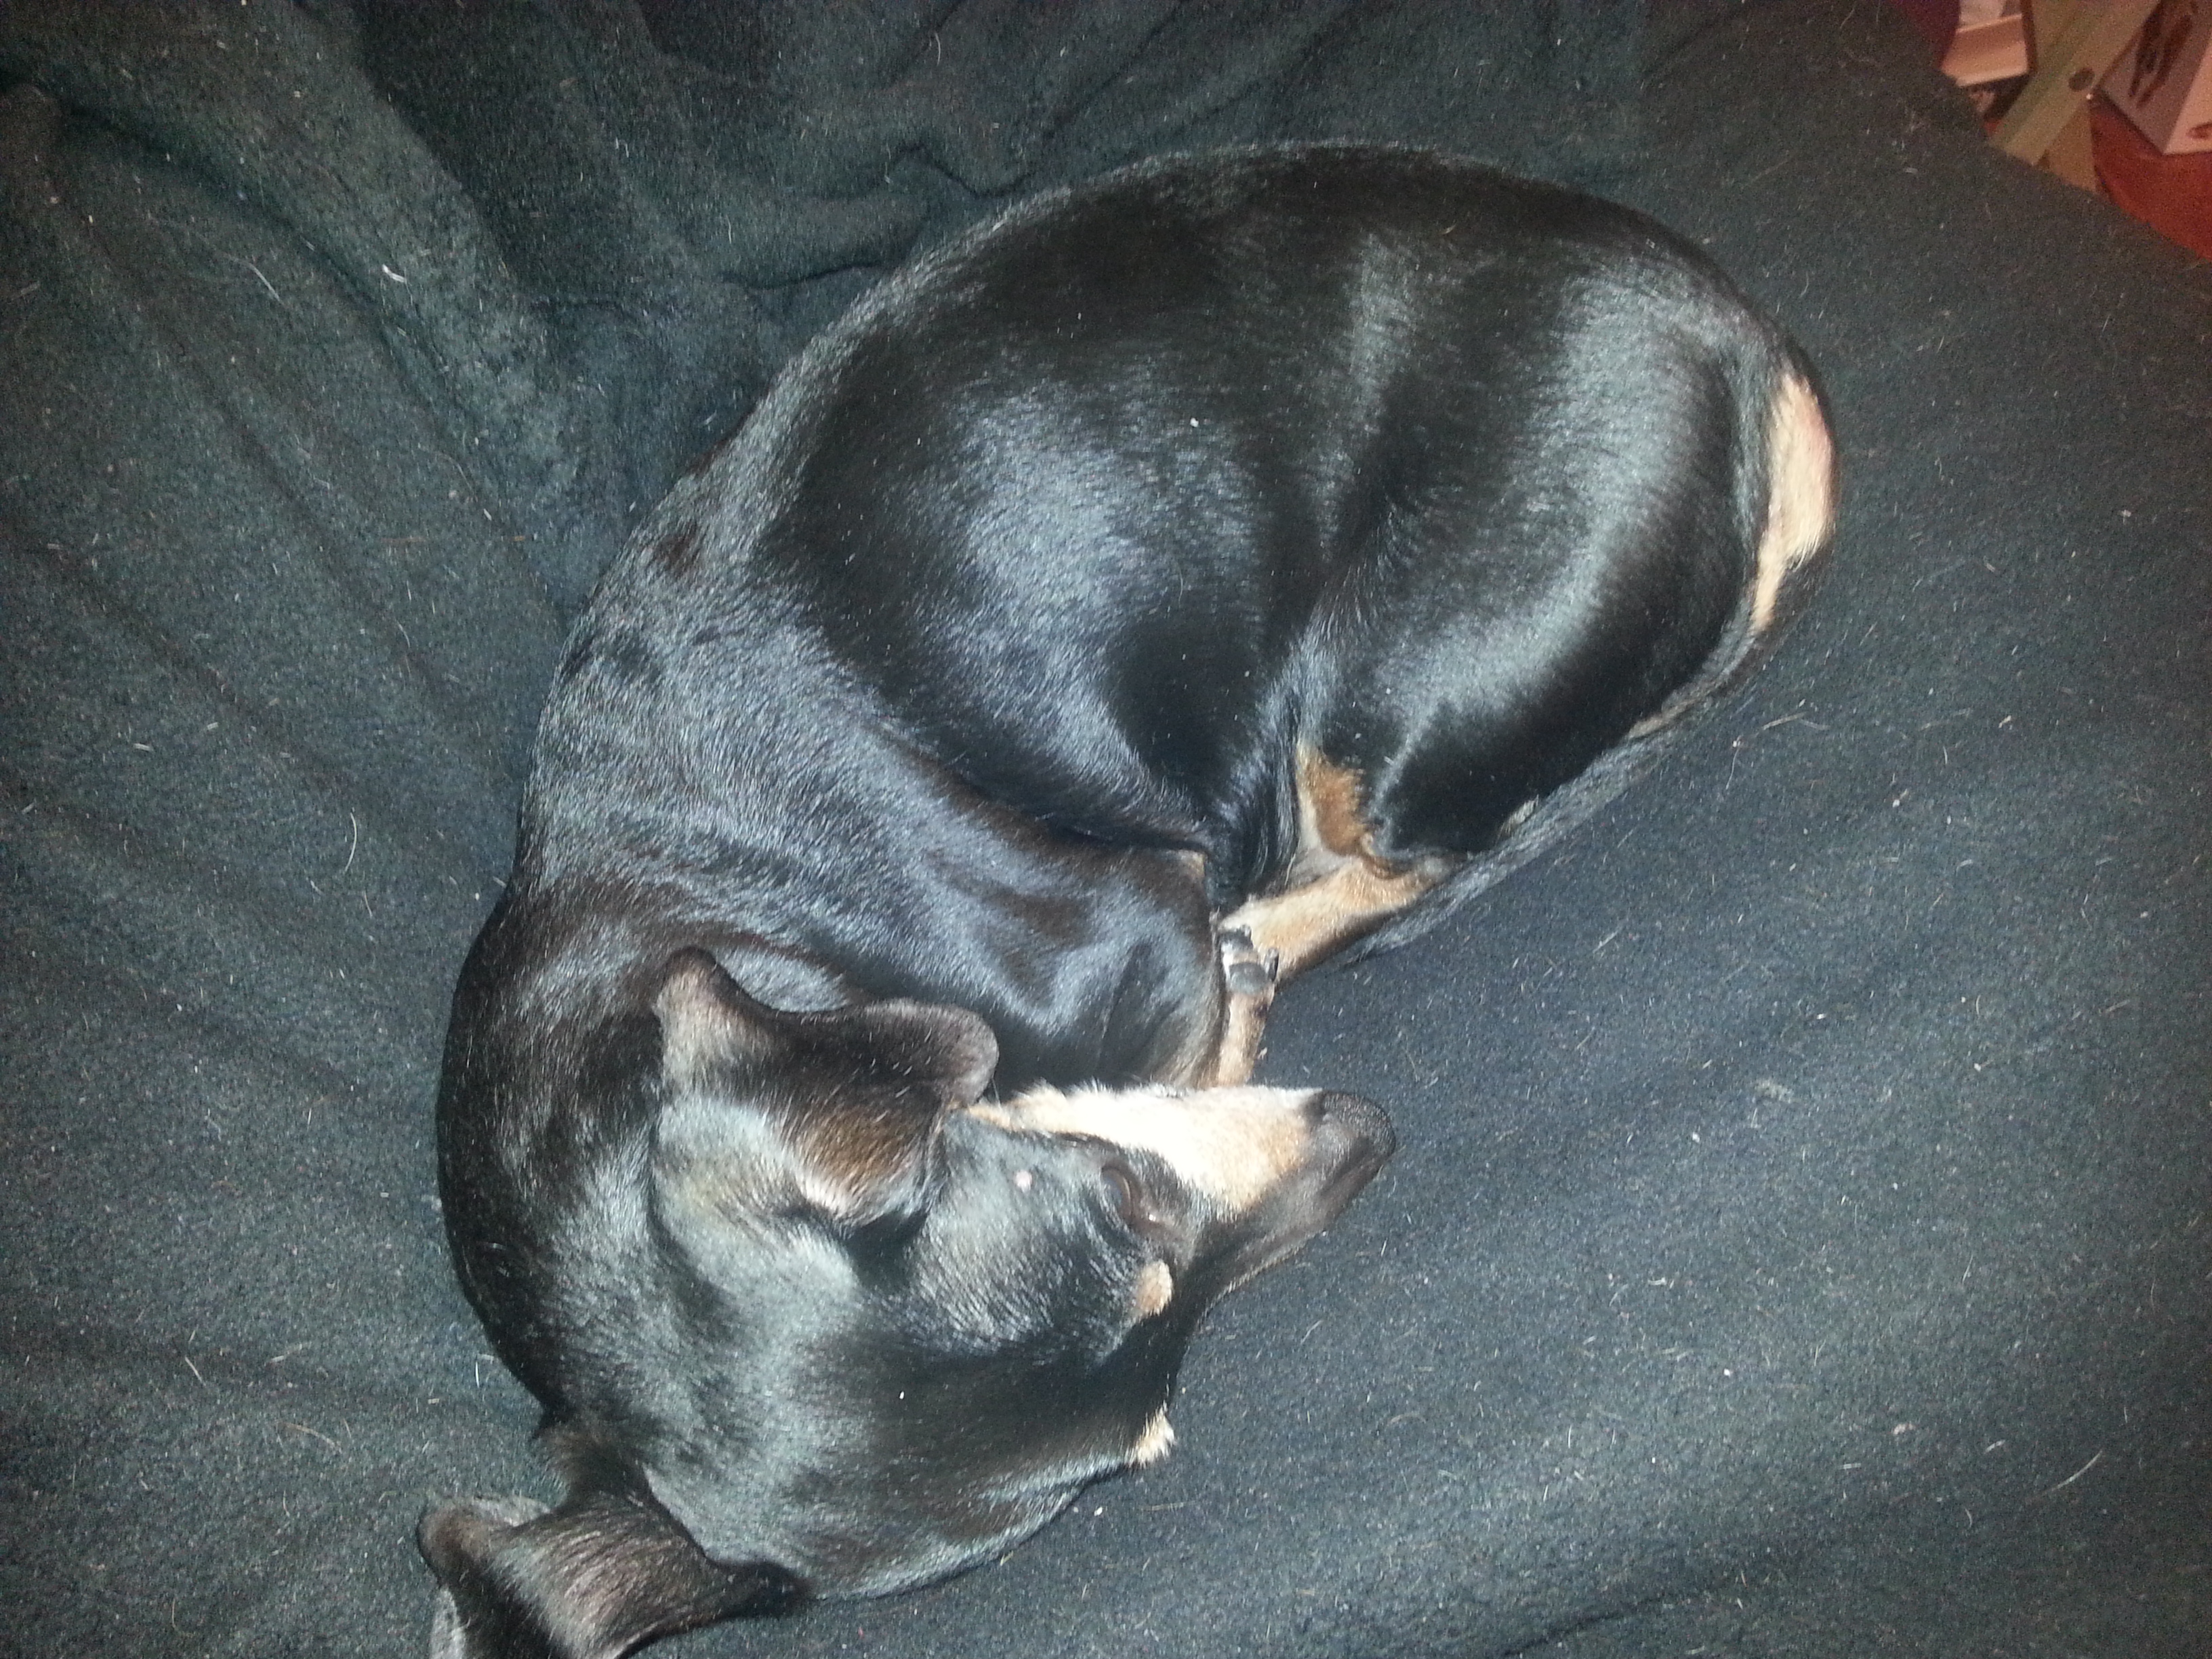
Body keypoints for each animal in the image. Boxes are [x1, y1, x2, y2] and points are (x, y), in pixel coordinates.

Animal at [420, 145, 1834, 1659]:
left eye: (1126, 1197)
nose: (1363, 1135)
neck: (736, 927)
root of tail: (1756, 356)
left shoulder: (1144, 924)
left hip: (1400, 696)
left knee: (1406, 854)